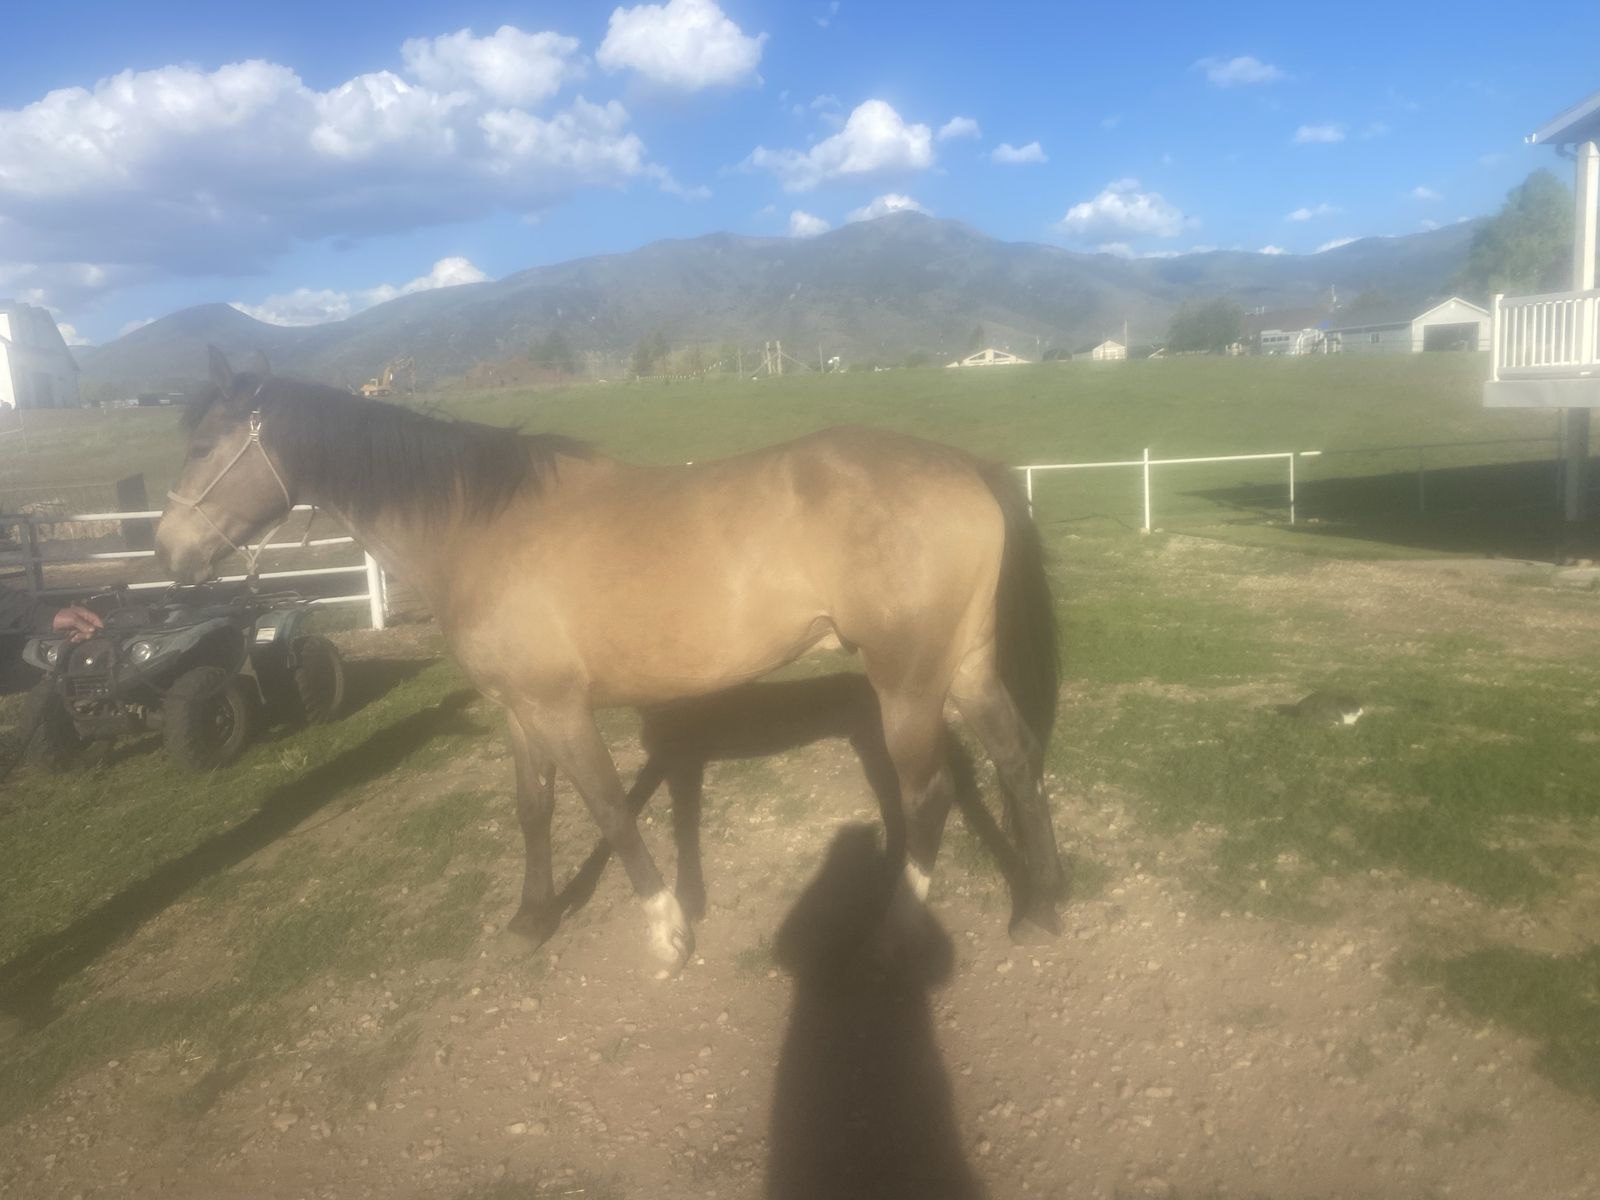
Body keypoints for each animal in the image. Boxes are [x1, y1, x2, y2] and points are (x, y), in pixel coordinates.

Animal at [155, 349, 1065, 976]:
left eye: (203, 444)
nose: (168, 553)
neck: (482, 529)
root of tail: (967, 468)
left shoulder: (561, 708)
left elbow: (608, 809)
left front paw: (667, 932)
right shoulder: (518, 709)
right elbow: (535, 810)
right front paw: (533, 920)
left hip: (908, 684)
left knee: (930, 797)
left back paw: (898, 934)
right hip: (965, 667)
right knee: (1018, 760)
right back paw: (1042, 907)